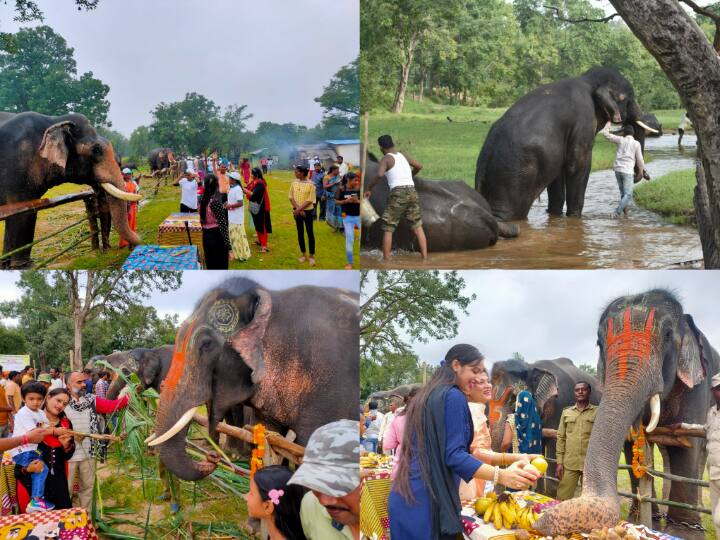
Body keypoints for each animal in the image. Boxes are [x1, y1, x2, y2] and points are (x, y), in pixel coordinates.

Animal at [0, 111, 143, 268]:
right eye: (96, 150)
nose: (107, 250)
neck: (55, 120)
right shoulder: (16, 170)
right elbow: (22, 214)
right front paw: (22, 266)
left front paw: (6, 265)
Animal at [476, 67, 656, 219]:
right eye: (629, 98)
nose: (644, 175)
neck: (587, 79)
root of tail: (486, 152)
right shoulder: (583, 122)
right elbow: (577, 165)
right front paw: (575, 217)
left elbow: (558, 173)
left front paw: (555, 215)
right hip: (514, 175)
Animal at [536, 288, 720, 536]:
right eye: (599, 343)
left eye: (668, 336)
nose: (540, 519)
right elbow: (630, 443)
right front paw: (643, 521)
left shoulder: (698, 383)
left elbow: (685, 447)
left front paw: (684, 533)